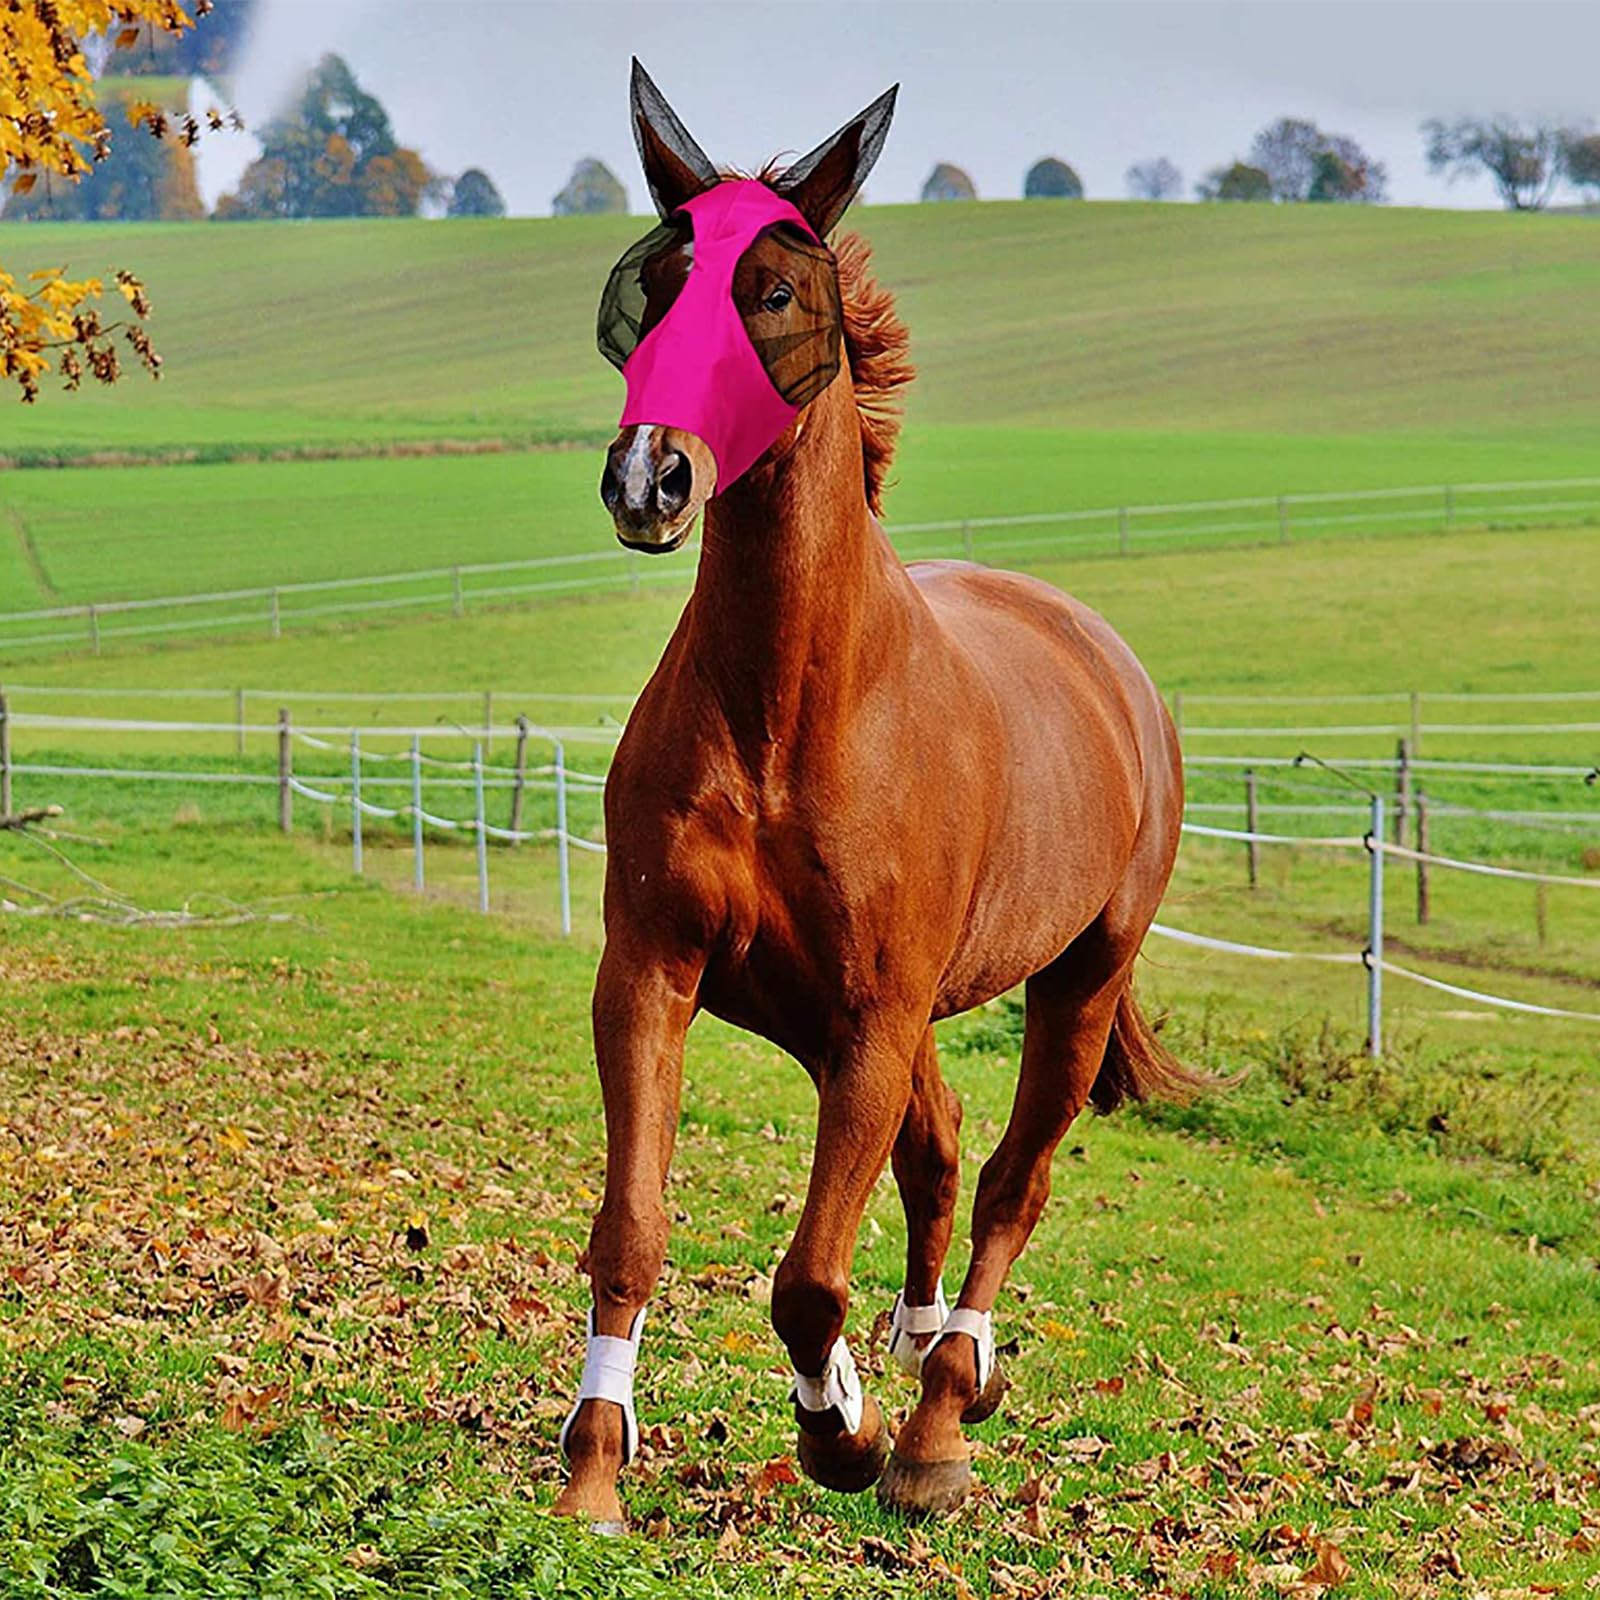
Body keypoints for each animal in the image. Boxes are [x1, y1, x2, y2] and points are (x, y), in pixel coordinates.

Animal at [554, 61, 1201, 1530]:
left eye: (774, 292)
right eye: (653, 284)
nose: (648, 477)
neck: (790, 712)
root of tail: (1112, 666)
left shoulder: (873, 1015)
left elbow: (806, 1277)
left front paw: (841, 1432)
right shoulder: (657, 974)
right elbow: (634, 1228)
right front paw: (593, 1475)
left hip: (1070, 984)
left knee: (1011, 1180)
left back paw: (940, 1415)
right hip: (843, 1018)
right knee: (942, 1151)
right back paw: (917, 1358)